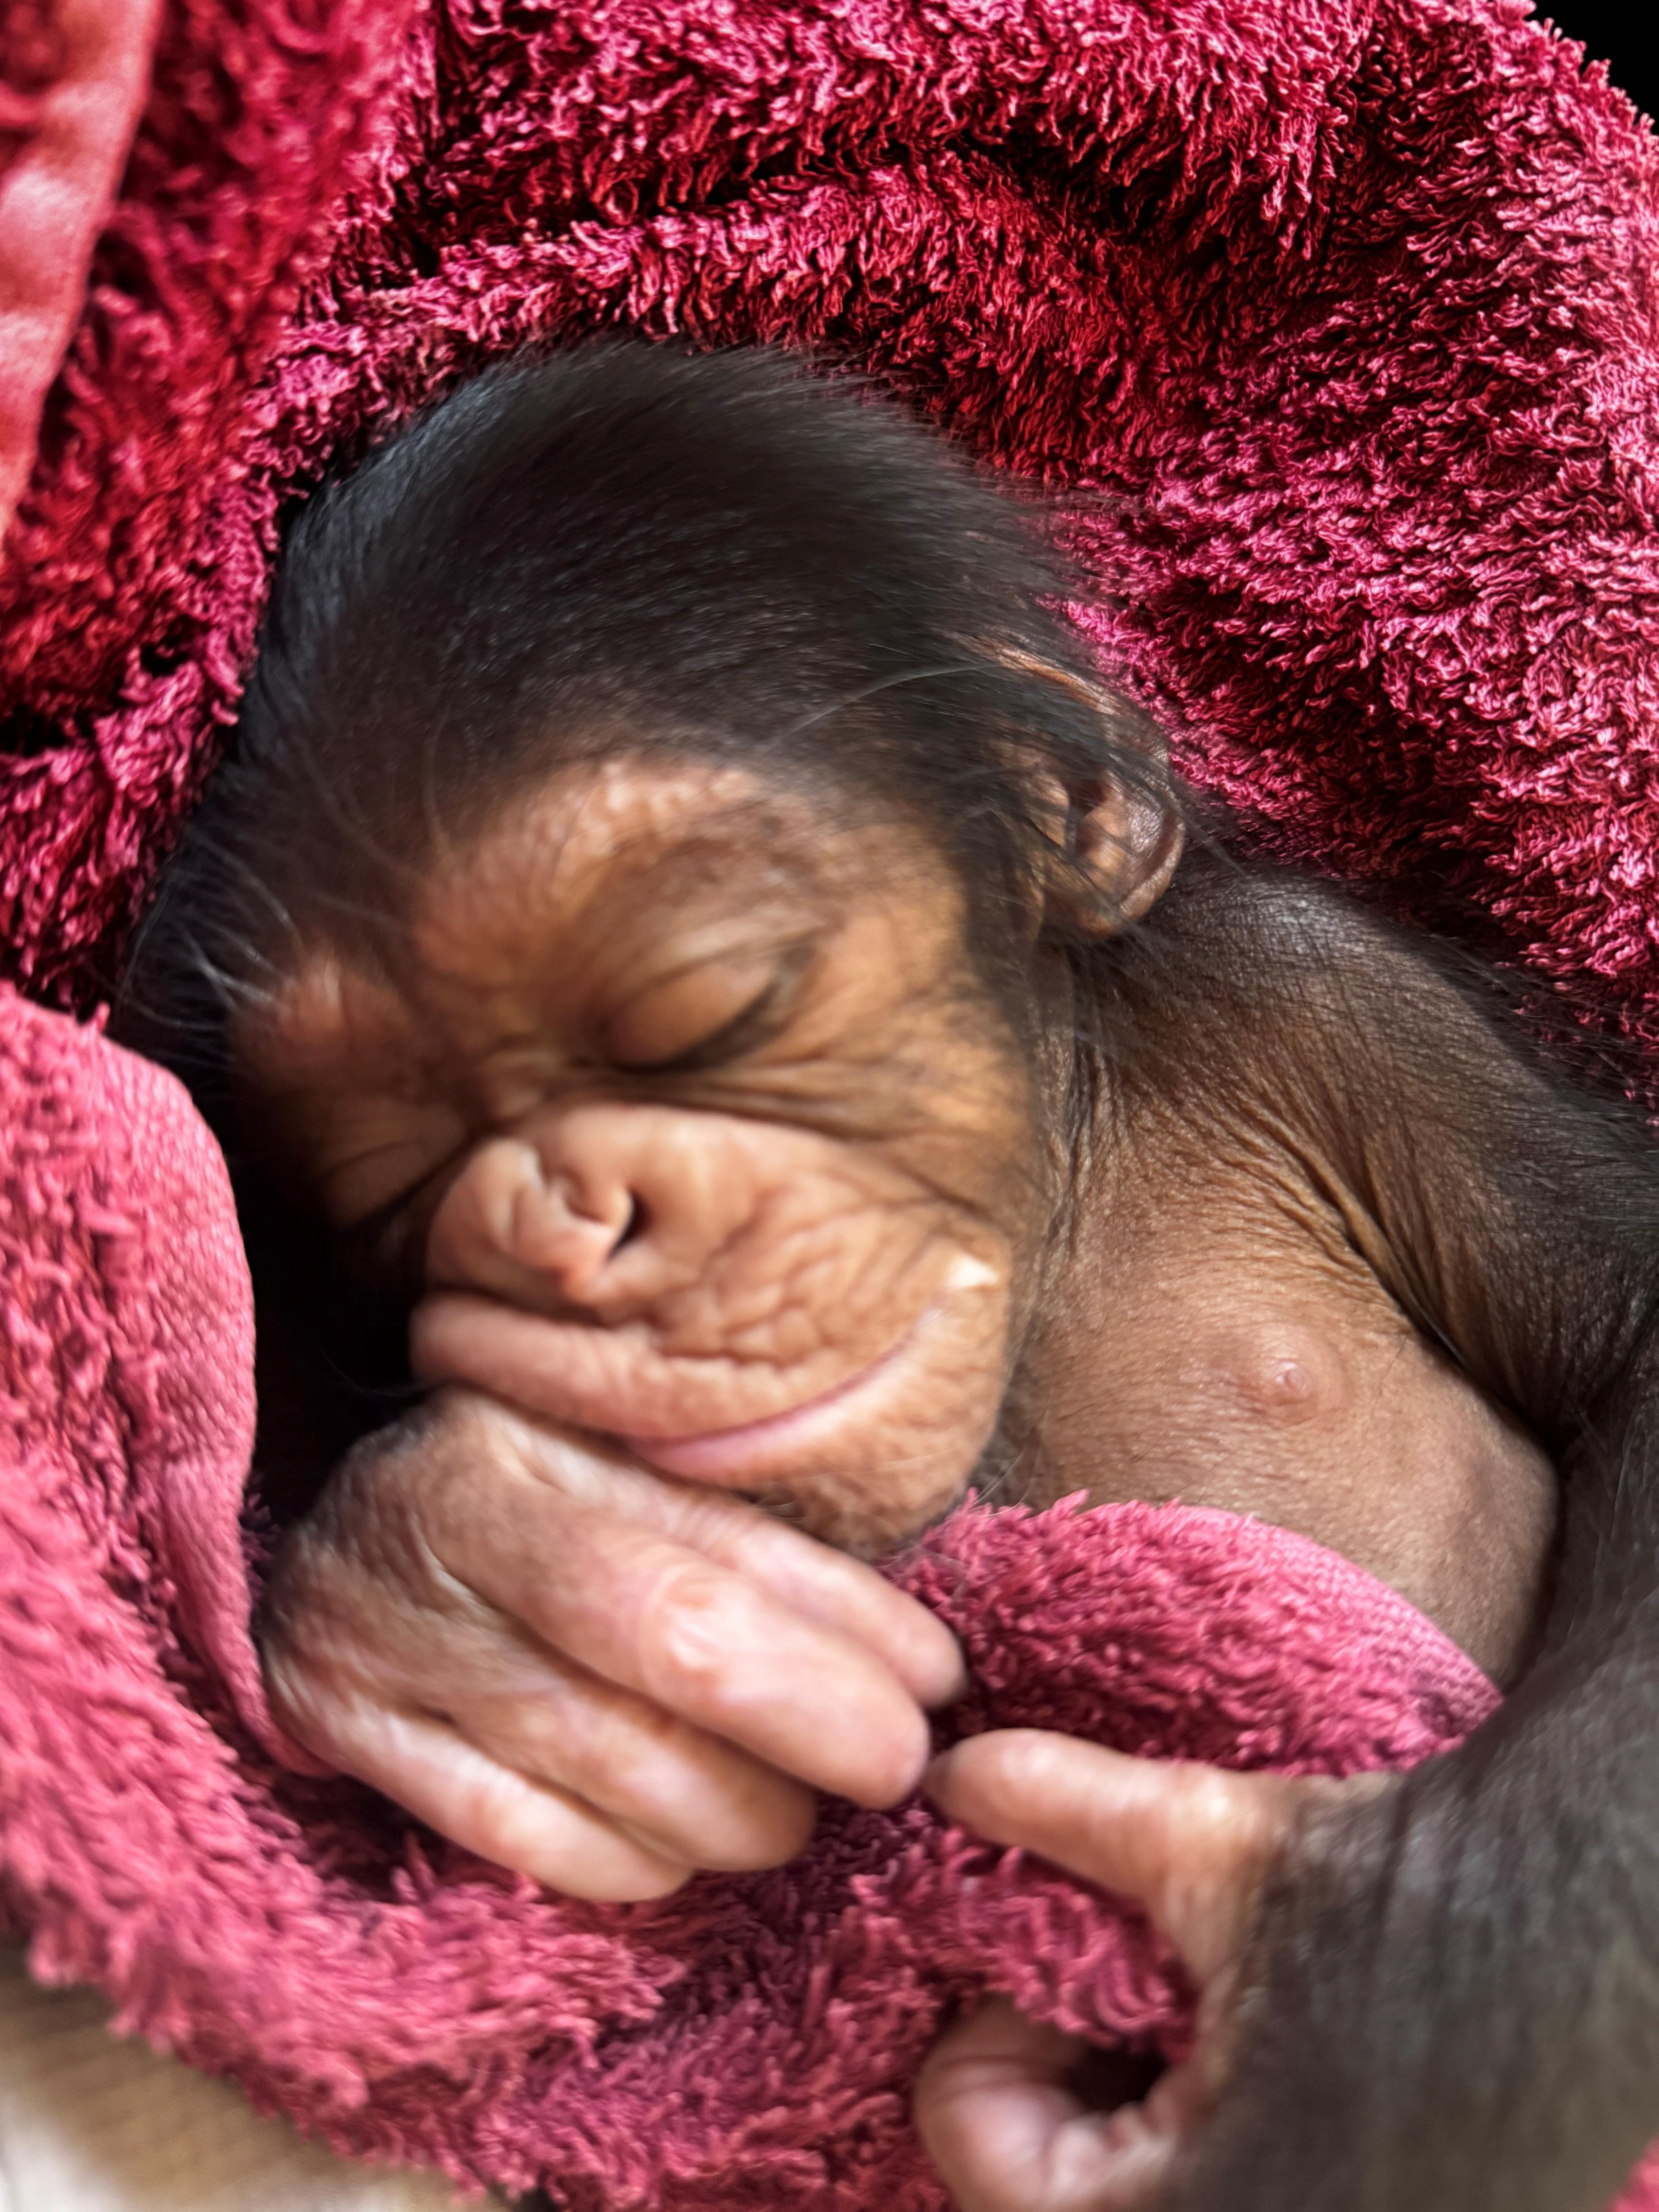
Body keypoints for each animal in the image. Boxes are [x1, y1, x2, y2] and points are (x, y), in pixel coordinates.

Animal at [114, 343, 1659, 2212]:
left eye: (719, 1004)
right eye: (391, 1176)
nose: (554, 1214)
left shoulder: (1326, 1003)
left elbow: (1630, 1326)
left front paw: (1364, 2017)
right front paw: (494, 1591)